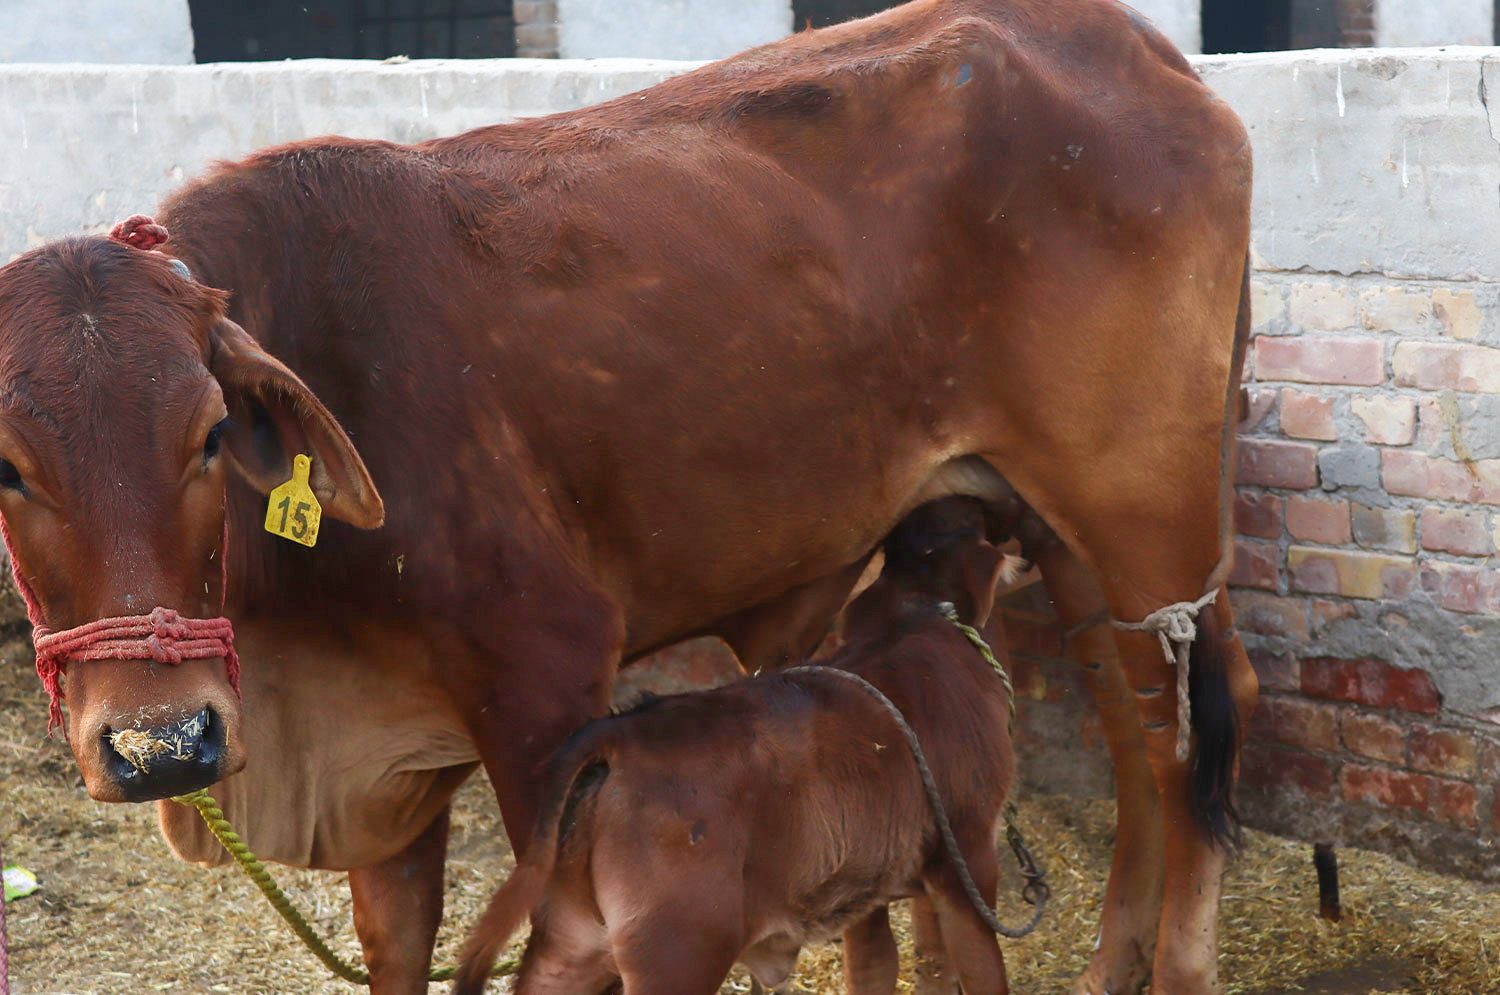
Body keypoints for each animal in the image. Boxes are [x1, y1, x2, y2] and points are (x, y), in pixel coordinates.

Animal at [451, 497, 1024, 995]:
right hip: (678, 948)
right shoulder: (969, 853)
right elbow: (983, 969)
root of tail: (618, 732)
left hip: (572, 938)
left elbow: (897, 967)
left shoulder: (871, 891)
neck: (922, 615)